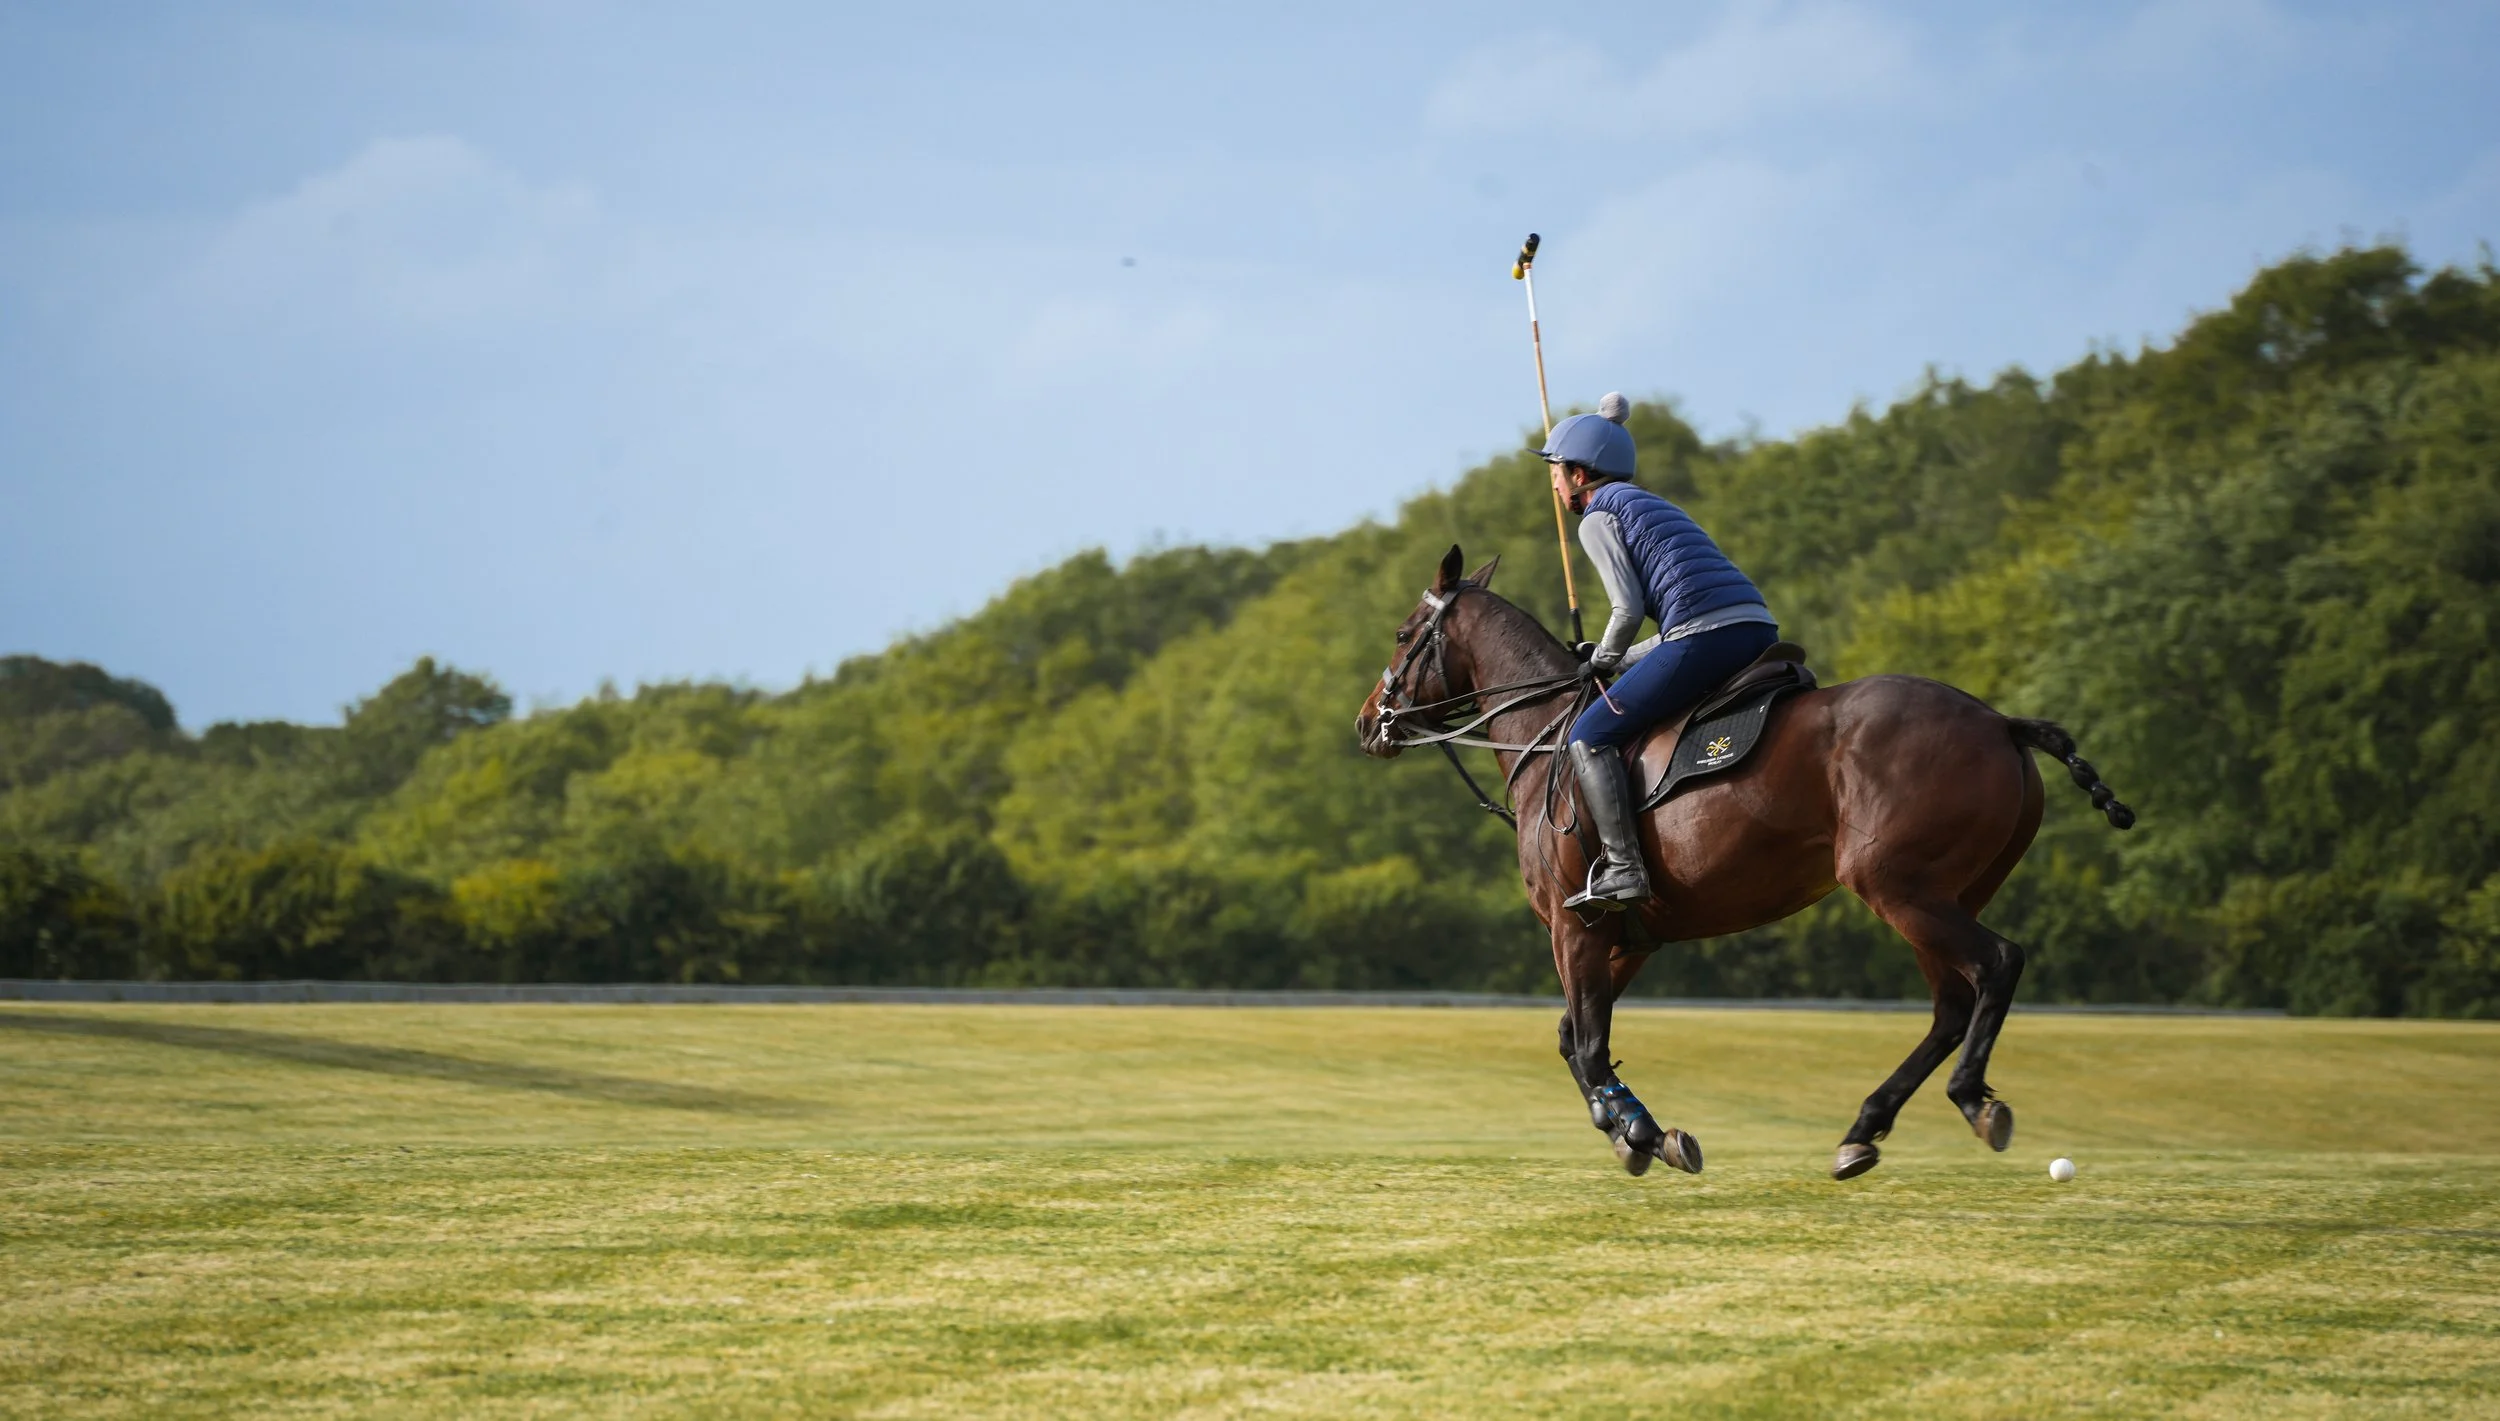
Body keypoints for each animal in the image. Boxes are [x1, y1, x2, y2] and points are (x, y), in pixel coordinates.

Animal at [1355, 545, 2134, 1180]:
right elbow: (1575, 1036)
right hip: (1944, 891)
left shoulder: (1576, 925)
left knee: (1996, 963)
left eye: (1402, 634)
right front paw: (1631, 1131)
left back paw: (1970, 1099)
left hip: (1897, 885)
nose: (1368, 722)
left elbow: (1588, 1042)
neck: (1543, 738)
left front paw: (1643, 1131)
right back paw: (1863, 1129)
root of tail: (2001, 723)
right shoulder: (1630, 934)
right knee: (1951, 1002)